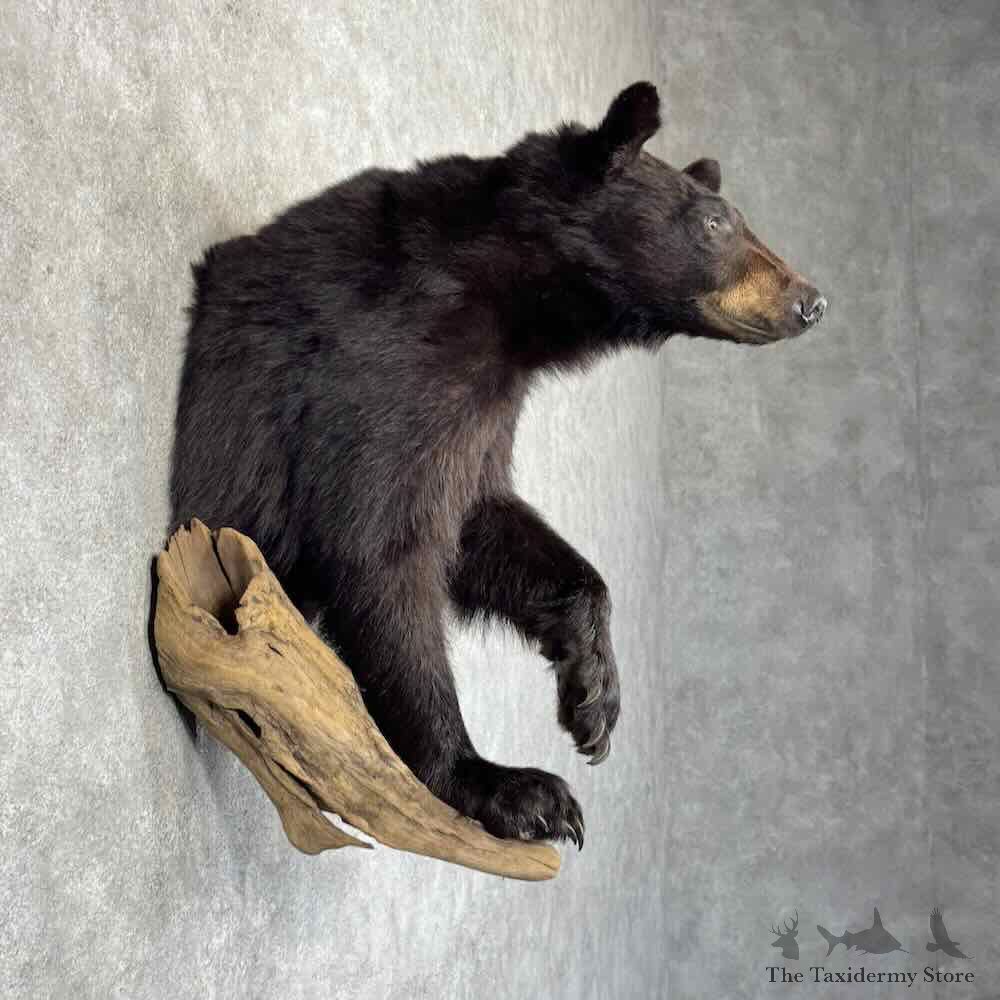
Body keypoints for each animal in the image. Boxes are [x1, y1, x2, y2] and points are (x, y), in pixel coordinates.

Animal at [171, 82, 826, 847]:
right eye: (717, 223)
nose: (810, 301)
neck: (508, 303)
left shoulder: (486, 407)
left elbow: (484, 519)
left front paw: (593, 694)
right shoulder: (383, 366)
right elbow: (379, 545)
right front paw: (503, 786)